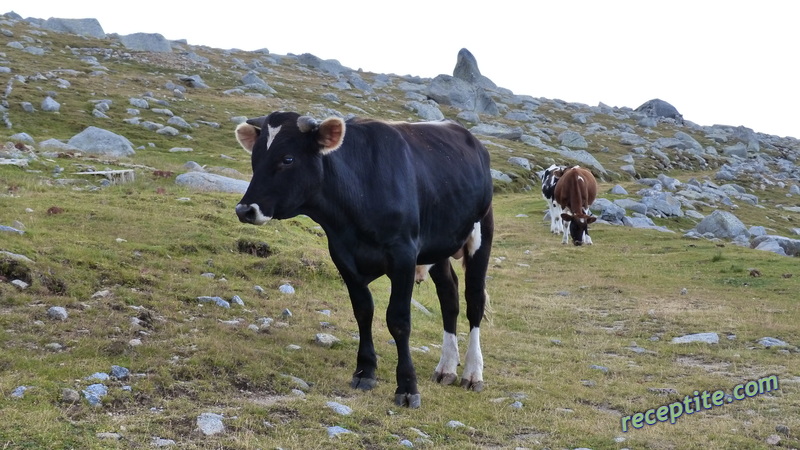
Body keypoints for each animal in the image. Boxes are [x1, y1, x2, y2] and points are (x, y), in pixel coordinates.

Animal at [233, 111, 494, 408]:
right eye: (255, 157)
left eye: (287, 159)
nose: (245, 209)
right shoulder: (343, 257)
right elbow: (363, 311)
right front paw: (365, 371)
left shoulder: (403, 254)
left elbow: (399, 320)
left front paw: (407, 387)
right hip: (438, 245)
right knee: (449, 296)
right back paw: (446, 367)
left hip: (481, 232)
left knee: (474, 300)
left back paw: (472, 373)